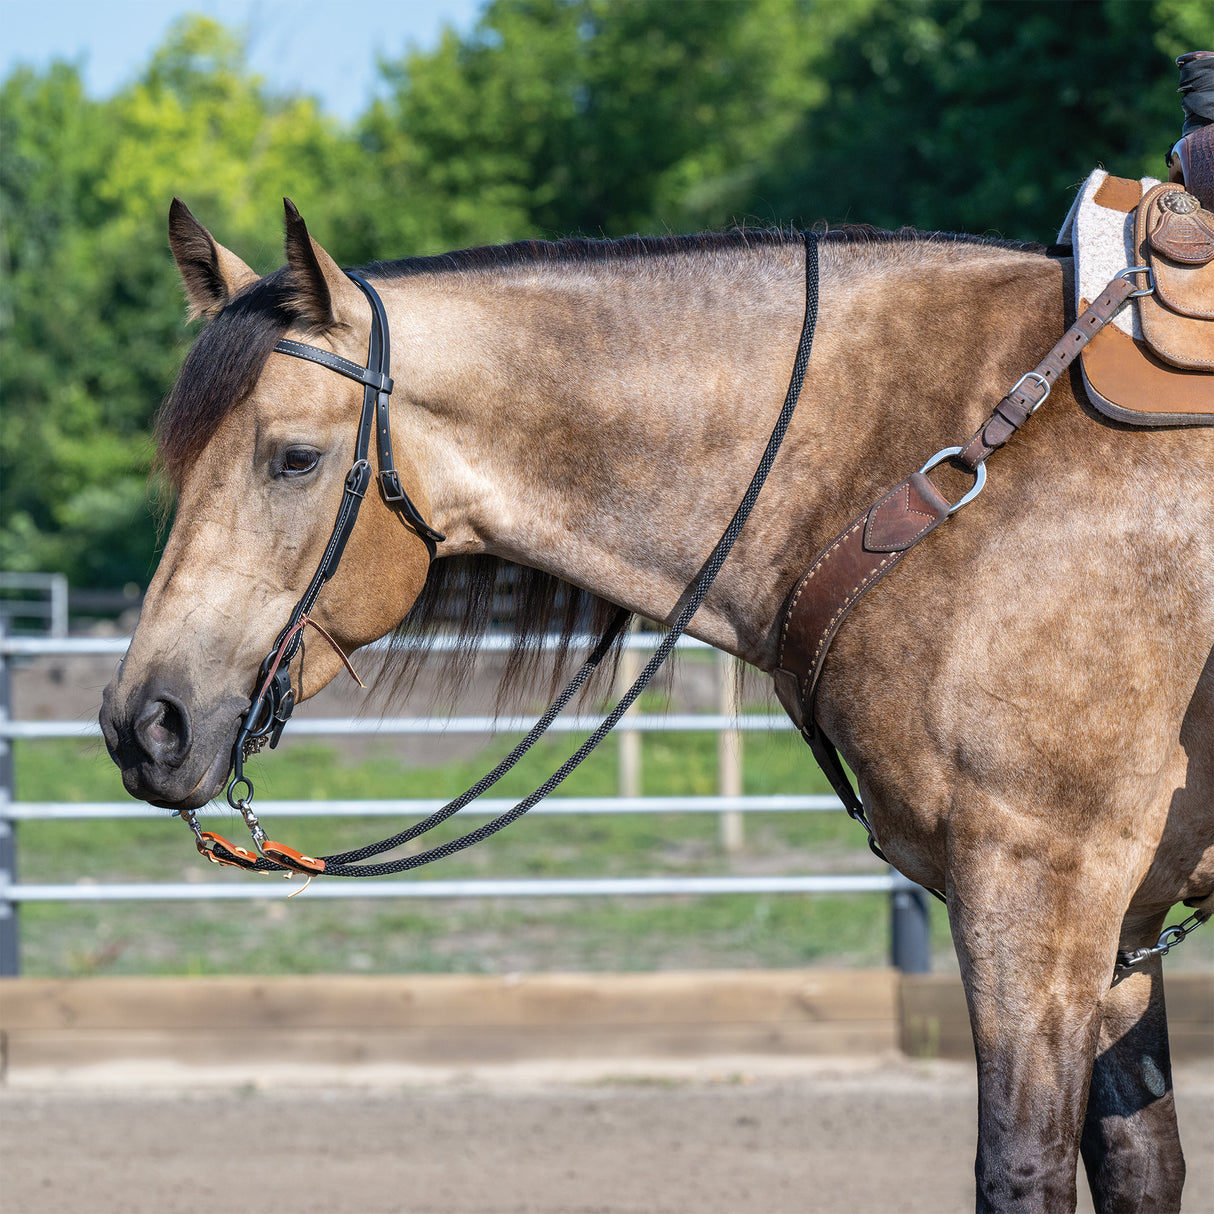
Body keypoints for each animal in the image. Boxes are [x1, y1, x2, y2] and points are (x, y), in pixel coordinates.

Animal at [104, 191, 1214, 1214]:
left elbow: (1022, 1169)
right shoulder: (1119, 919)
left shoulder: (1038, 886)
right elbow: (1140, 1163)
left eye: (293, 457)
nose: (142, 721)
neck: (944, 454)